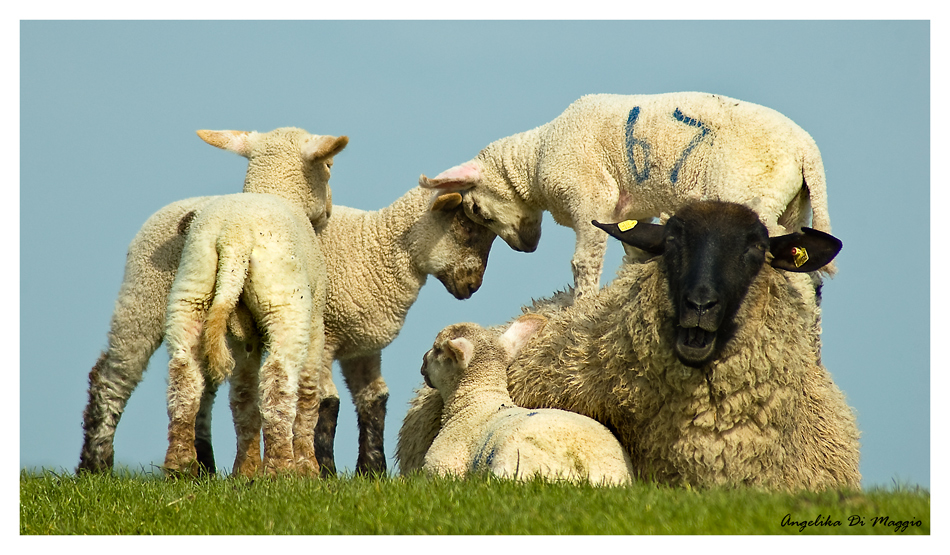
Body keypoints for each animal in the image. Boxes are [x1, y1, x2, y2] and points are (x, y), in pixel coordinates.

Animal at [420, 92, 836, 300]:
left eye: (477, 210)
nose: (527, 247)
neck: (537, 156)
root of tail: (807, 150)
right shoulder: (630, 211)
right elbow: (636, 254)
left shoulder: (590, 194)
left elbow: (584, 263)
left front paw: (582, 307)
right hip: (793, 205)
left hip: (751, 190)